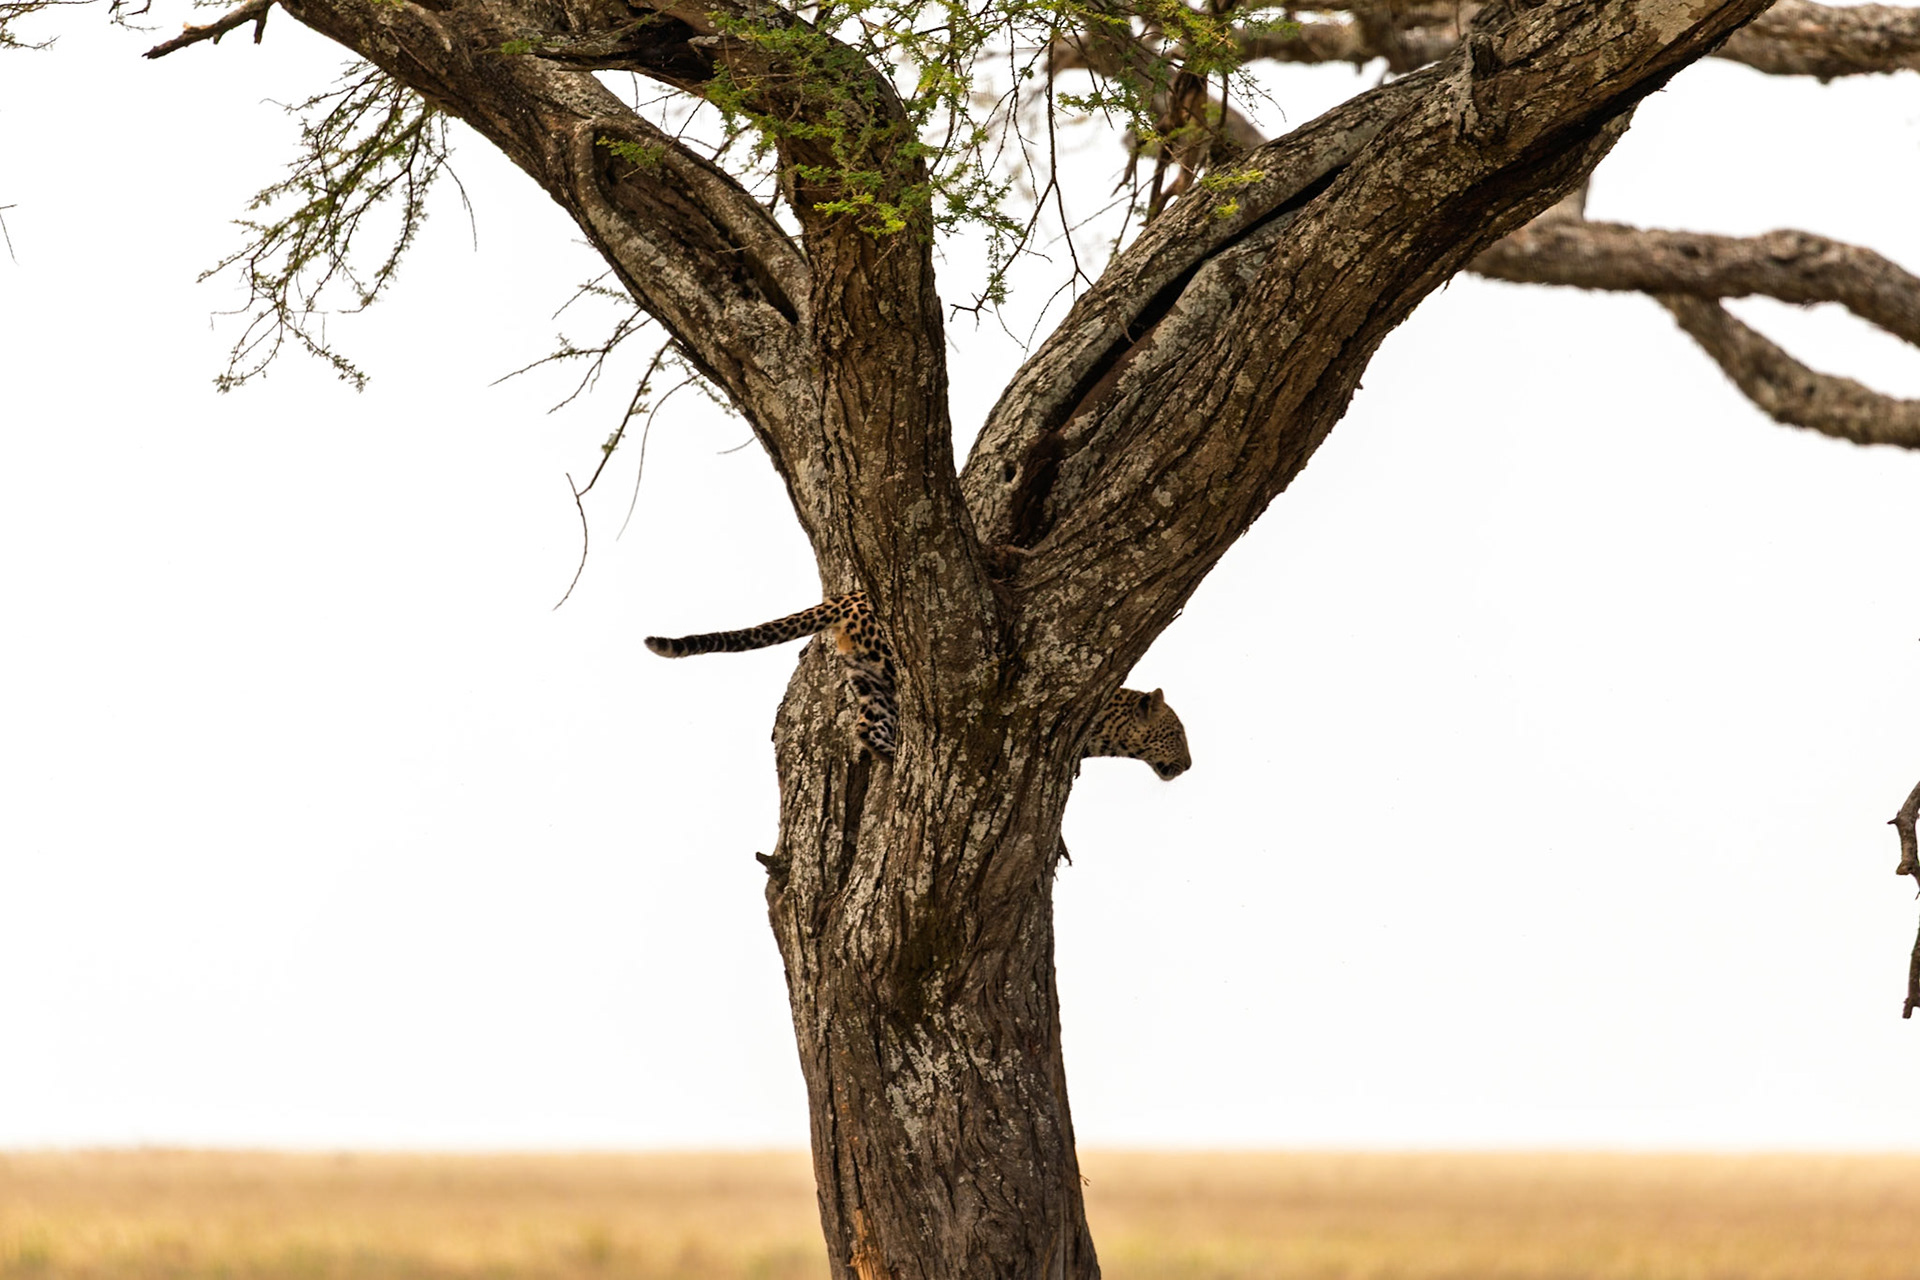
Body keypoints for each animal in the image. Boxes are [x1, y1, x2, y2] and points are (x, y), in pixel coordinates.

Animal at [644, 592, 1192, 779]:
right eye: (1177, 735)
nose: (1187, 766)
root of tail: (848, 596)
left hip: (869, 680)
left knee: (864, 726)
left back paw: (889, 752)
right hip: (890, 661)